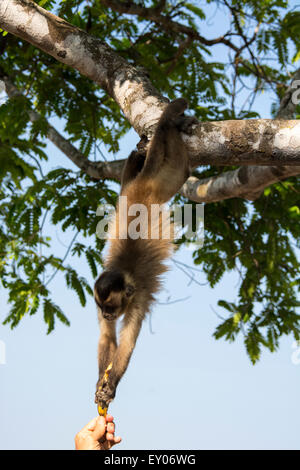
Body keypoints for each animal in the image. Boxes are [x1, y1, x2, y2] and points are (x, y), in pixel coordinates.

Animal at [94, 98, 197, 408]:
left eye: (112, 308)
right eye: (102, 309)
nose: (107, 316)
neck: (125, 275)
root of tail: (144, 187)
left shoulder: (137, 297)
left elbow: (127, 342)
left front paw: (111, 385)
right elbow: (108, 339)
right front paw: (100, 382)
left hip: (164, 182)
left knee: (178, 167)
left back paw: (172, 120)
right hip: (132, 190)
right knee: (128, 179)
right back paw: (135, 159)